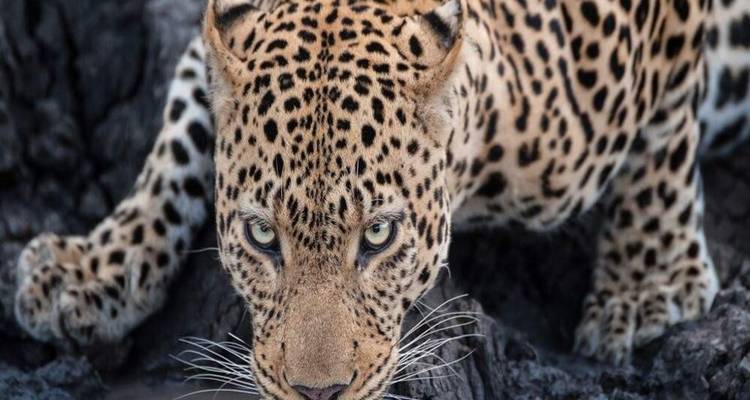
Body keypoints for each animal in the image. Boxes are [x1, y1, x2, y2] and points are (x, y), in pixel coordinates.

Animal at [12, 0, 750, 398]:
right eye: (261, 236)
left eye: (378, 237)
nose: (319, 393)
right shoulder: (216, 45)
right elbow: (176, 142)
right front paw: (89, 269)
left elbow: (663, 138)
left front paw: (649, 285)